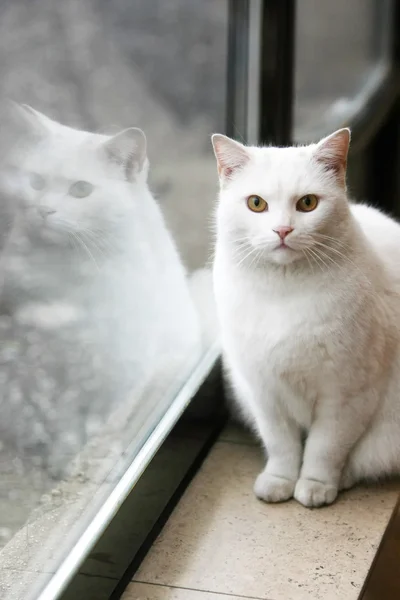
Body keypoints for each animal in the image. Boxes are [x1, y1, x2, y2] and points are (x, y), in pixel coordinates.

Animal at [211, 127, 400, 506]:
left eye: (308, 203)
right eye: (256, 203)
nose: (282, 230)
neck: (283, 294)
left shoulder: (347, 395)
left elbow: (325, 447)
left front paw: (315, 485)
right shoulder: (264, 390)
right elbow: (281, 444)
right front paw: (279, 481)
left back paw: (340, 480)